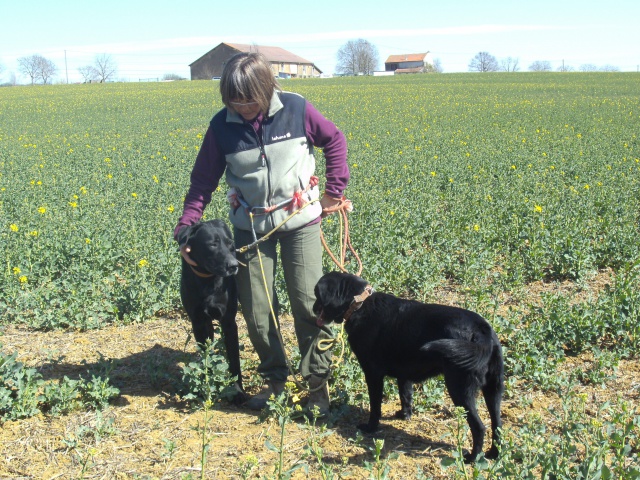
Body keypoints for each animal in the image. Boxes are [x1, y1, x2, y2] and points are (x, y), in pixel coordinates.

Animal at [180, 219, 245, 404]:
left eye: (230, 245)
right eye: (212, 244)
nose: (234, 266)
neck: (208, 281)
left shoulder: (229, 322)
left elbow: (234, 361)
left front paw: (237, 391)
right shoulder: (198, 322)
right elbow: (205, 357)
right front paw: (206, 384)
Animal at [312, 270, 502, 462]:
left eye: (317, 295)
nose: (313, 309)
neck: (360, 304)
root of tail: (482, 332)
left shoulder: (373, 374)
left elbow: (375, 406)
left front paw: (371, 427)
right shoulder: (404, 374)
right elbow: (405, 396)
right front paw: (404, 415)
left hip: (460, 390)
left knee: (479, 427)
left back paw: (472, 458)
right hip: (494, 390)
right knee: (497, 424)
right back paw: (494, 454)